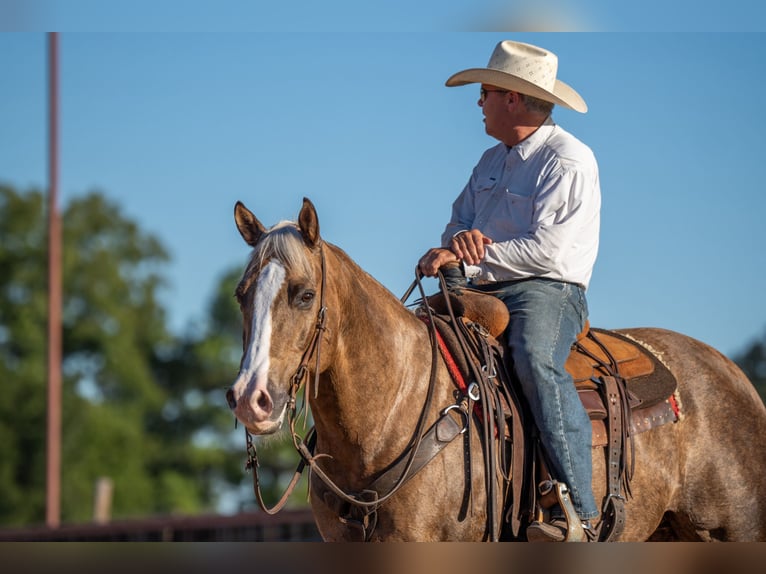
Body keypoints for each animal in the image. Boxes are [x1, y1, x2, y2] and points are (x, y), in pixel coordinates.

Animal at [226, 199, 766, 544]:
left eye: (304, 294)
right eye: (240, 294)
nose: (251, 398)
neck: (391, 413)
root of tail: (734, 376)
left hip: (737, 529)